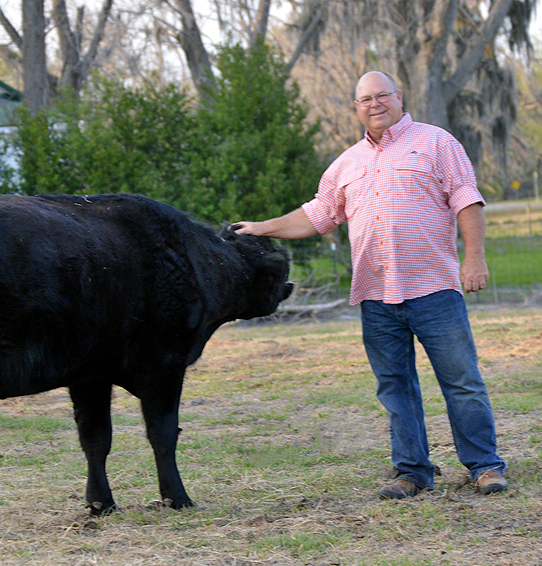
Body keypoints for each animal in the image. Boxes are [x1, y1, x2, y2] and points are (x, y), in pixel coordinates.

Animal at [0, 194, 294, 516]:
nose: (287, 286)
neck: (194, 262)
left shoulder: (91, 375)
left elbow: (96, 438)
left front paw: (101, 503)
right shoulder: (165, 364)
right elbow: (163, 434)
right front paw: (177, 498)